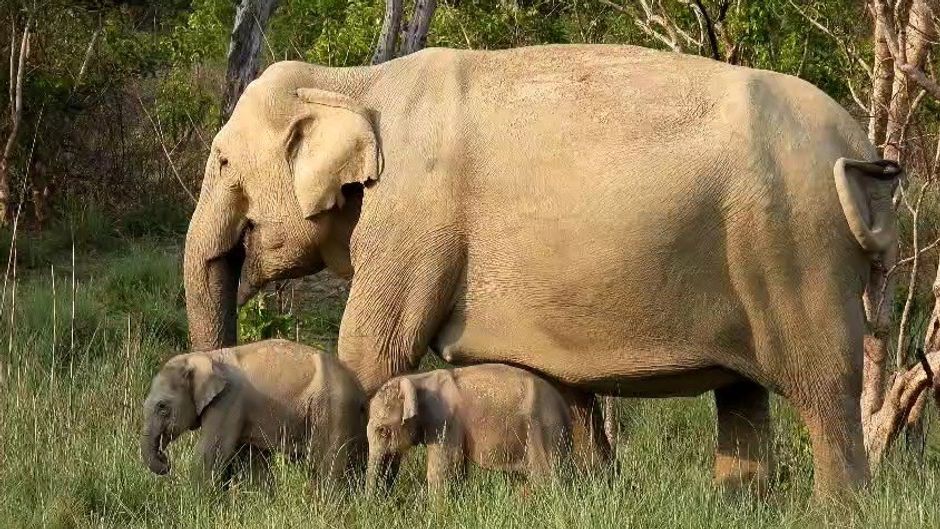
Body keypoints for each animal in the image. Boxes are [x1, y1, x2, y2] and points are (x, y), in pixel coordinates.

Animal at [140, 339, 367, 487]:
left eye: (162, 406)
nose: (166, 461)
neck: (206, 357)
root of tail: (359, 388)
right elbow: (254, 460)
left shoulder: (229, 400)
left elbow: (211, 452)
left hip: (333, 408)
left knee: (327, 462)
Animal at [366, 364, 573, 495]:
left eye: (383, 431)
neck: (416, 379)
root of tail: (564, 406)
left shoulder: (445, 422)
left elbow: (443, 471)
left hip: (543, 429)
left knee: (545, 476)